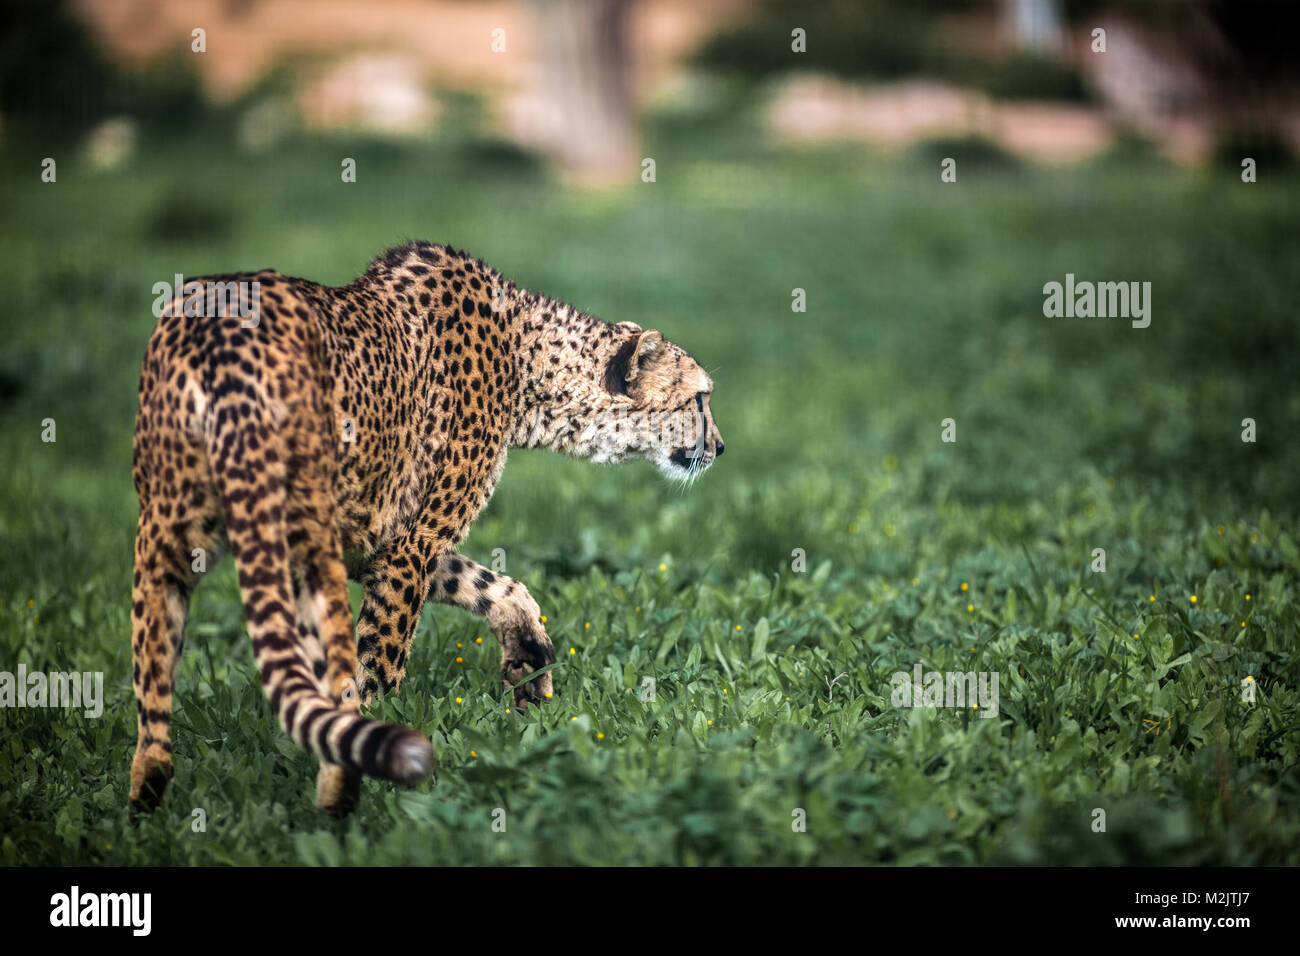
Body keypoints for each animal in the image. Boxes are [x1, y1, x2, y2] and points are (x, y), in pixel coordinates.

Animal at [131, 240, 728, 816]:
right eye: (699, 398)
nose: (721, 448)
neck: (527, 361)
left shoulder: (383, 543)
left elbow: (500, 588)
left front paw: (529, 668)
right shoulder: (409, 545)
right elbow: (380, 666)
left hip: (170, 534)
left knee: (154, 686)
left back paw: (146, 804)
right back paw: (346, 799)